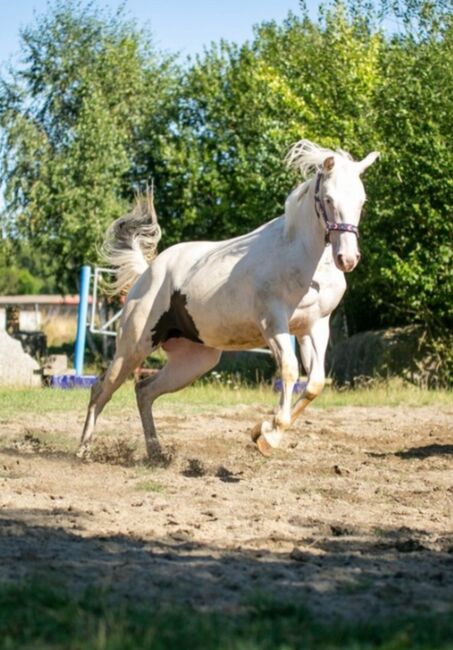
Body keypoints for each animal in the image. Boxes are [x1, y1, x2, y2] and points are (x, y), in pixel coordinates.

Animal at [79, 139, 376, 458]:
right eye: (329, 199)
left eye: (362, 201)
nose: (347, 259)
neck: (303, 258)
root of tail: (147, 273)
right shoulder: (273, 324)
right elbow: (289, 371)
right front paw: (267, 435)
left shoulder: (315, 326)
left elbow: (315, 384)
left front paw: (266, 432)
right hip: (134, 346)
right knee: (101, 389)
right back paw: (83, 451)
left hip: (195, 360)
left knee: (144, 390)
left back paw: (156, 453)